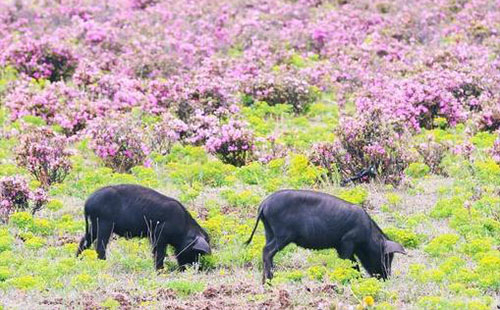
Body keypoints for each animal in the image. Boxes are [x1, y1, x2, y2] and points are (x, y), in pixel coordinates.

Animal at [75, 184, 210, 268]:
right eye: (195, 252)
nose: (190, 268)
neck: (183, 227)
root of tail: (87, 202)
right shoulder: (158, 236)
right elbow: (159, 253)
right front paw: (160, 270)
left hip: (93, 226)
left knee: (84, 241)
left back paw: (77, 259)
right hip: (104, 224)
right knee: (100, 246)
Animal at [246, 189, 406, 284]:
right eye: (387, 257)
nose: (387, 278)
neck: (368, 236)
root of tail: (263, 205)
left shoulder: (341, 246)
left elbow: (353, 263)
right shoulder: (347, 242)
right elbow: (350, 262)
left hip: (269, 232)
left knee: (266, 251)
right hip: (282, 235)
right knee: (267, 251)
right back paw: (269, 281)